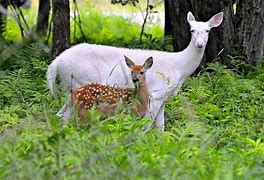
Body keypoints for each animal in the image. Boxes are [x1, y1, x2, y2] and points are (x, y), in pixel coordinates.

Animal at [47, 11, 223, 130]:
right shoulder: (156, 93)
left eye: (207, 30)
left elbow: (161, 128)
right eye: (192, 30)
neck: (179, 67)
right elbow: (147, 124)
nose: (199, 43)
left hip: (72, 89)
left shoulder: (165, 96)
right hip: (79, 81)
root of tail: (56, 62)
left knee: (60, 116)